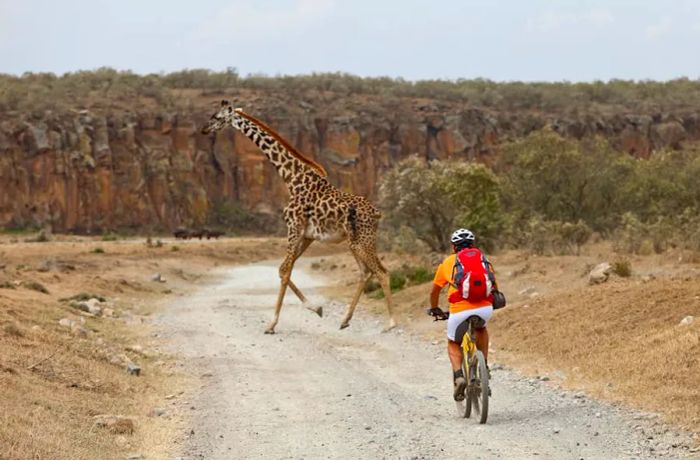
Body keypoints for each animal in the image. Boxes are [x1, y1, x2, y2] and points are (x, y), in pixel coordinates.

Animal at [204, 99, 400, 334]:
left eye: (217, 117)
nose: (204, 130)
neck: (291, 177)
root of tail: (377, 213)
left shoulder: (293, 228)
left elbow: (285, 271)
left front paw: (272, 324)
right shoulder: (307, 235)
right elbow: (283, 269)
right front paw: (317, 308)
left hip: (362, 240)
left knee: (381, 271)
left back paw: (391, 323)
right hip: (354, 242)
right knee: (365, 272)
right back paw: (345, 320)